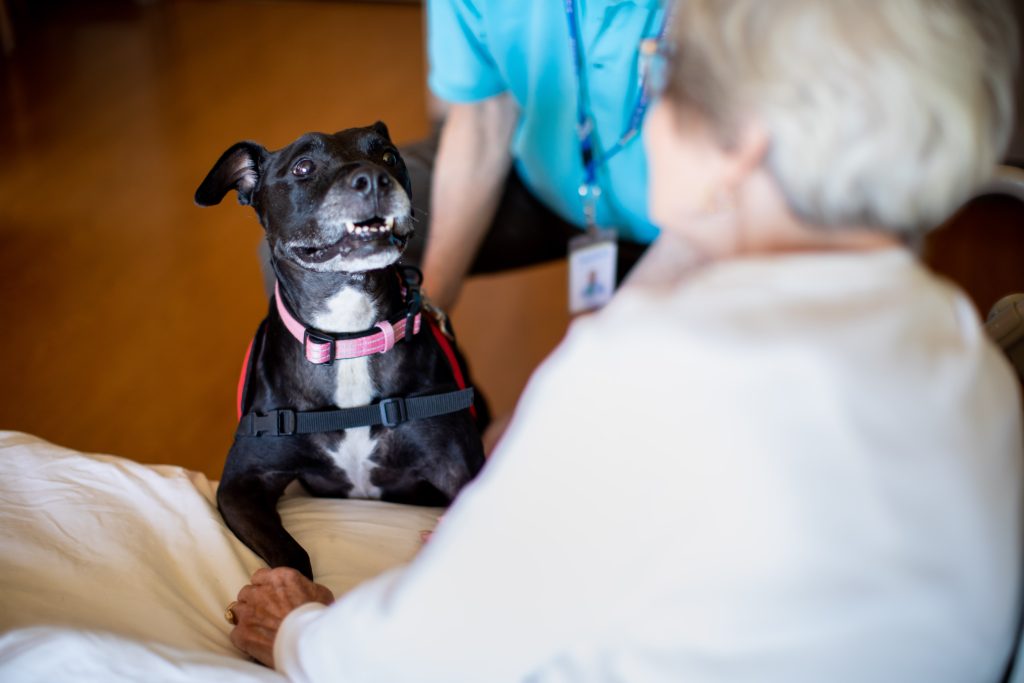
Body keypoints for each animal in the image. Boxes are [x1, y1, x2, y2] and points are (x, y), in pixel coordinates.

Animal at [198, 121, 491, 577]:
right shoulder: (241, 484)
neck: (350, 336)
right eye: (303, 167)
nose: (374, 179)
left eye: (387, 156)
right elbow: (291, 556)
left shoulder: (459, 470)